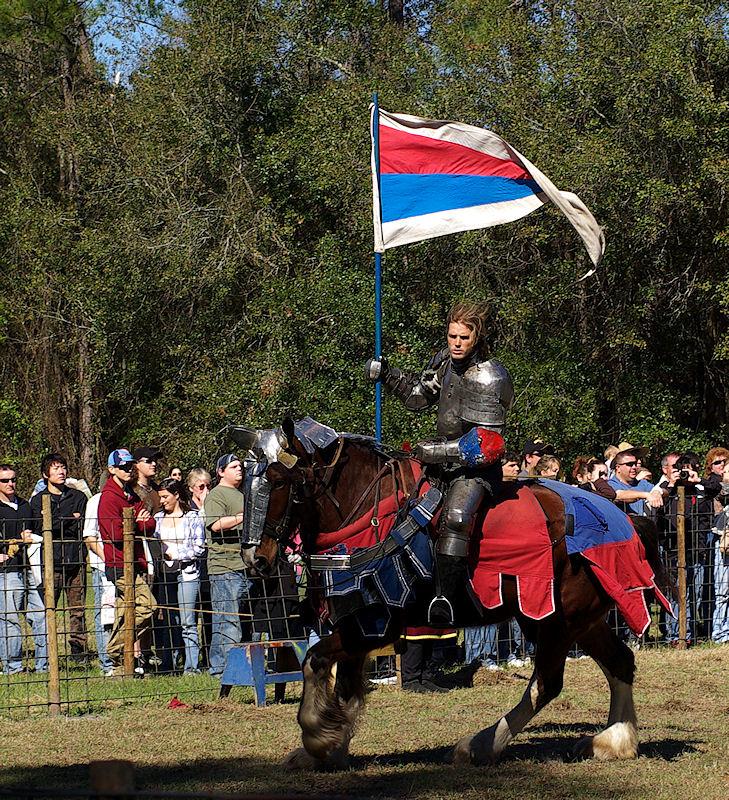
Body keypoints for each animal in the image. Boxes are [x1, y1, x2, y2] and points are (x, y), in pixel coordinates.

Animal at [236, 422, 668, 772]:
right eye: (246, 486)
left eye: (279, 482)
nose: (255, 558)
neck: (370, 518)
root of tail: (625, 519)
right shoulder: (360, 622)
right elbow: (344, 685)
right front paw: (331, 748)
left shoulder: (373, 627)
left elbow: (314, 661)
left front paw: (317, 739)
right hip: (582, 619)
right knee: (619, 662)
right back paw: (615, 741)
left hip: (555, 620)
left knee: (548, 682)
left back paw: (481, 745)